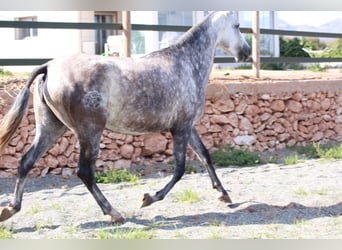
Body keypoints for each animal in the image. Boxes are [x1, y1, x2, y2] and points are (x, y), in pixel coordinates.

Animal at [0, 11, 251, 223]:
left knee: (26, 162)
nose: (247, 52)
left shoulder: (188, 126)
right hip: (90, 131)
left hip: (51, 127)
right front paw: (148, 198)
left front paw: (224, 195)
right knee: (85, 172)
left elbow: (205, 155)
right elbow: (180, 169)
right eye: (238, 26)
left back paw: (10, 209)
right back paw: (114, 213)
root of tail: (49, 67)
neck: (188, 64)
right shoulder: (181, 128)